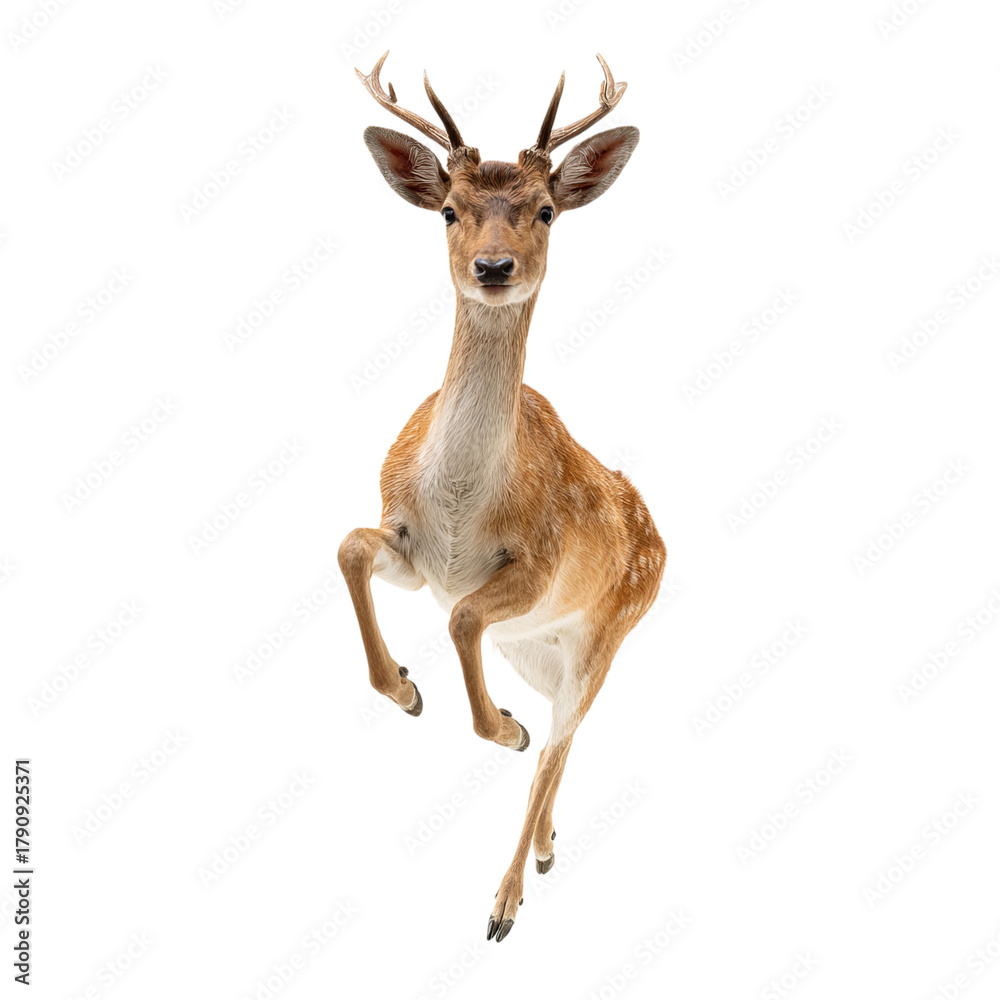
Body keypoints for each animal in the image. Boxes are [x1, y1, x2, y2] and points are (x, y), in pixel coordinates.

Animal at [340, 51, 665, 943]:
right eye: (448, 210)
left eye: (546, 210)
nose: (493, 268)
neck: (461, 503)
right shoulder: (410, 545)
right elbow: (351, 548)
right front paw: (406, 688)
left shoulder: (536, 569)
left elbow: (461, 621)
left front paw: (498, 729)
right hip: (537, 650)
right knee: (565, 741)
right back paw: (548, 847)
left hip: (604, 637)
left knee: (556, 746)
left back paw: (506, 899)